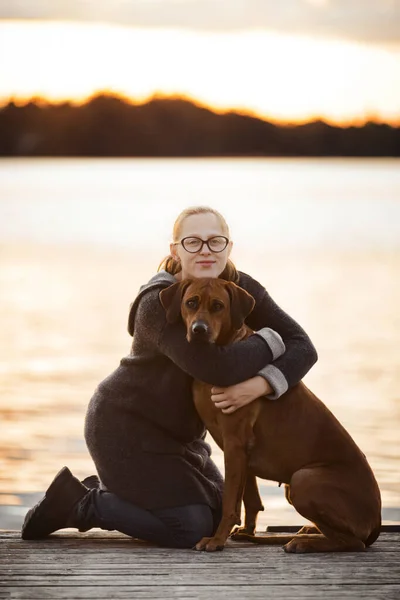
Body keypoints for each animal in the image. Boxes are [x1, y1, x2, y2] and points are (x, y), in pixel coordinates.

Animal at [159, 278, 382, 556]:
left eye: (218, 306)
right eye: (191, 303)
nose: (199, 330)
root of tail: (377, 523)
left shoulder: (235, 443)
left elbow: (231, 501)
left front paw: (217, 539)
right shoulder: (242, 452)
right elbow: (250, 497)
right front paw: (246, 531)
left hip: (303, 479)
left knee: (354, 542)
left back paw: (305, 542)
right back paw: (308, 531)